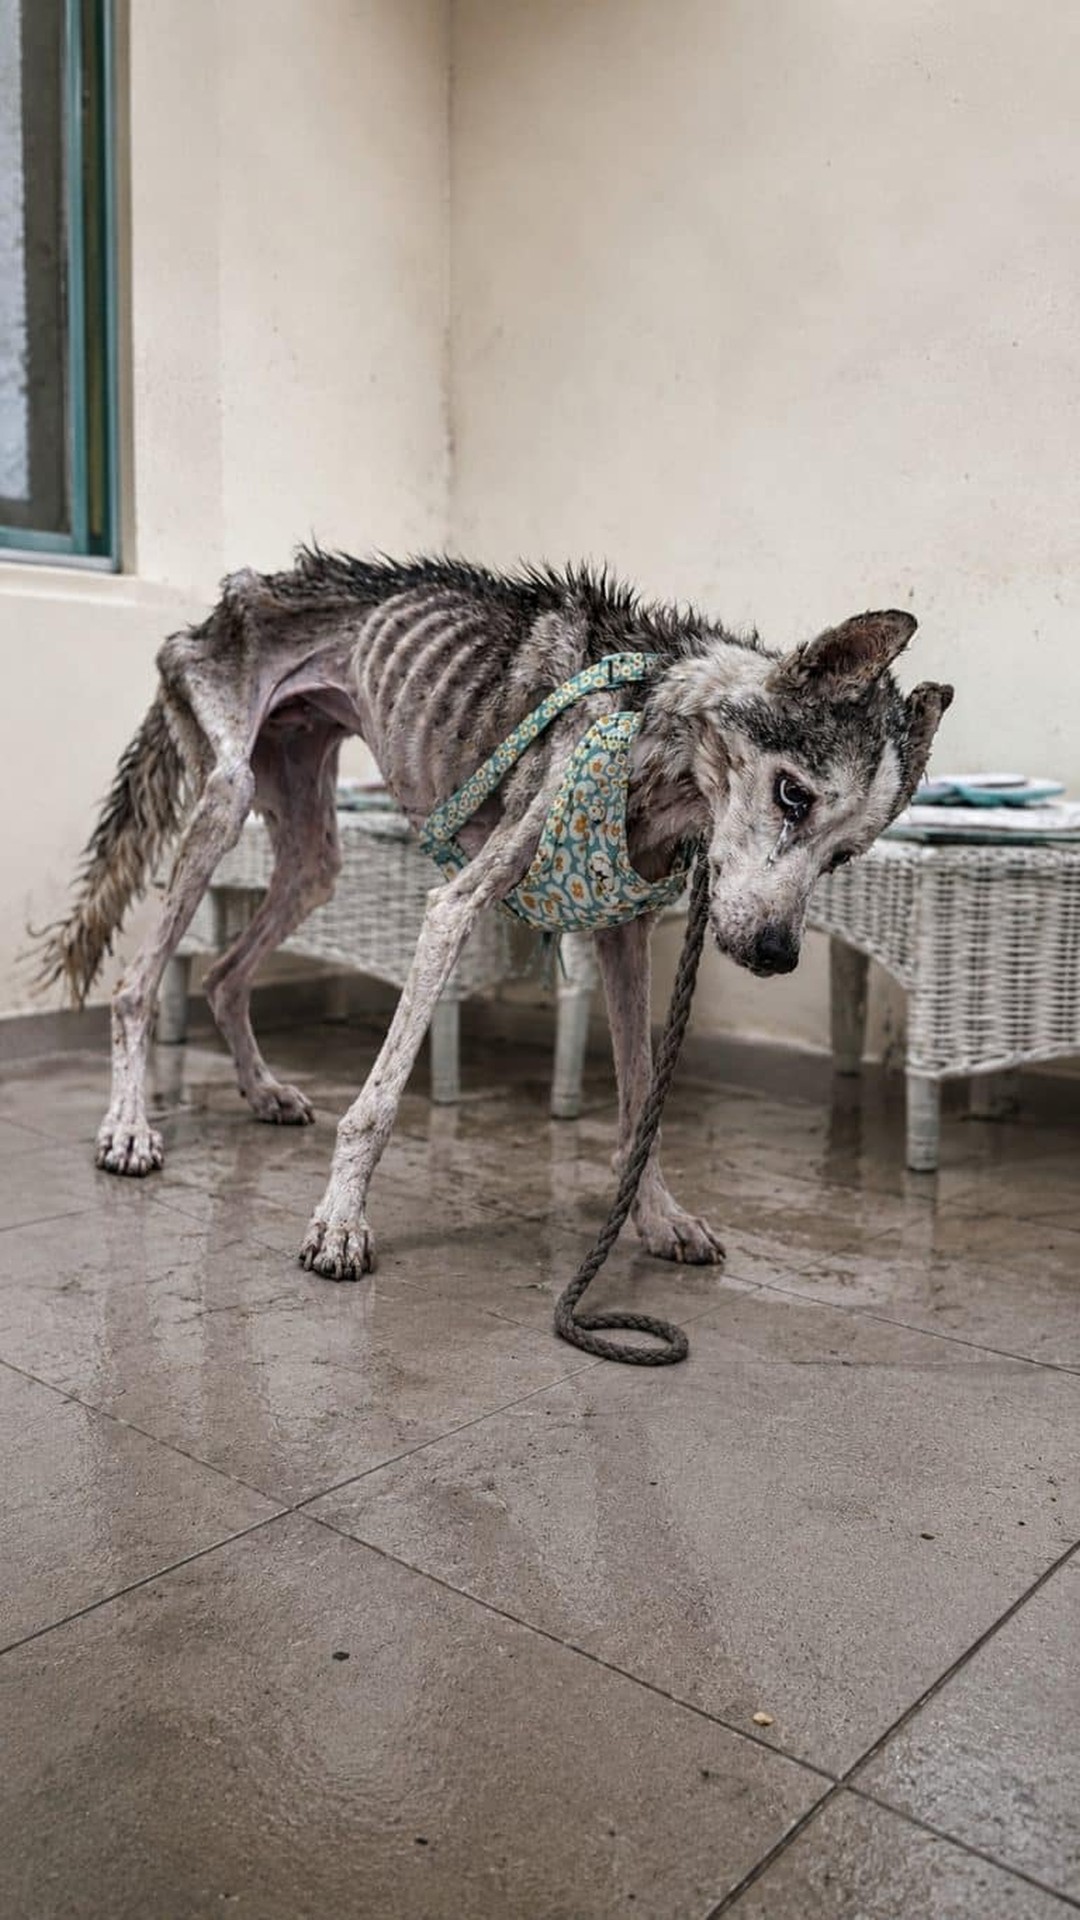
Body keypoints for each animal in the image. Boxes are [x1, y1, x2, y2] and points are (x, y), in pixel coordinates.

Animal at [39, 551, 951, 1279]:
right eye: (793, 795)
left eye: (844, 856)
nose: (772, 954)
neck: (651, 721)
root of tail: (238, 593)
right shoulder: (456, 903)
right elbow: (377, 1105)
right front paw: (340, 1223)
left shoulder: (621, 934)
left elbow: (639, 1104)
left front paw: (656, 1218)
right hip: (227, 798)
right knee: (135, 986)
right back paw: (128, 1129)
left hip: (311, 857)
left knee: (227, 975)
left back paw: (261, 1091)